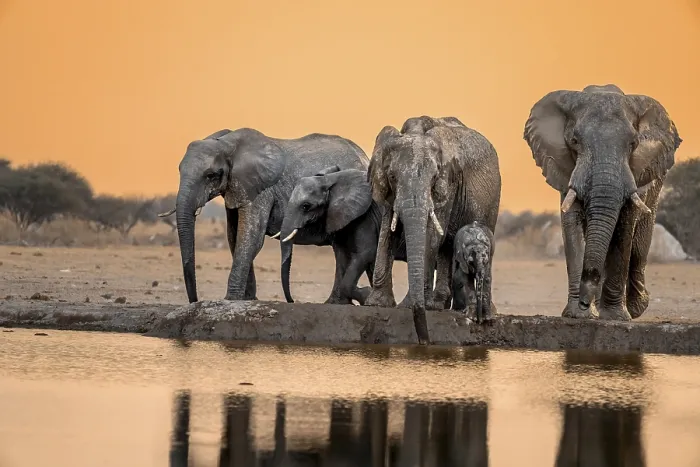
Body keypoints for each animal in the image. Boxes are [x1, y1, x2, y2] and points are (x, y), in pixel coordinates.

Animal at [161, 128, 369, 304]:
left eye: (211, 175)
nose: (194, 301)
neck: (228, 143)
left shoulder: (262, 190)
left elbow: (251, 237)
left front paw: (230, 300)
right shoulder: (237, 188)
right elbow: (234, 236)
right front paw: (247, 300)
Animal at [279, 165, 407, 305]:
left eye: (306, 206)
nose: (292, 301)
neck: (328, 181)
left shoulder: (365, 216)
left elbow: (367, 252)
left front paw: (366, 296)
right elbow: (342, 256)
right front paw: (339, 303)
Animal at [364, 115, 502, 344]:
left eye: (434, 177)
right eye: (392, 176)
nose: (425, 342)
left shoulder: (448, 186)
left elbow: (431, 235)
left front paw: (407, 305)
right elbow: (387, 232)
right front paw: (376, 304)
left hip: (492, 202)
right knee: (447, 248)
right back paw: (437, 305)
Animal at [523, 84, 682, 320]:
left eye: (633, 144)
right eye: (575, 141)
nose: (583, 301)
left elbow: (624, 229)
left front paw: (615, 317)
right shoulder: (566, 168)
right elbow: (572, 225)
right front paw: (578, 315)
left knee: (639, 245)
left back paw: (635, 308)